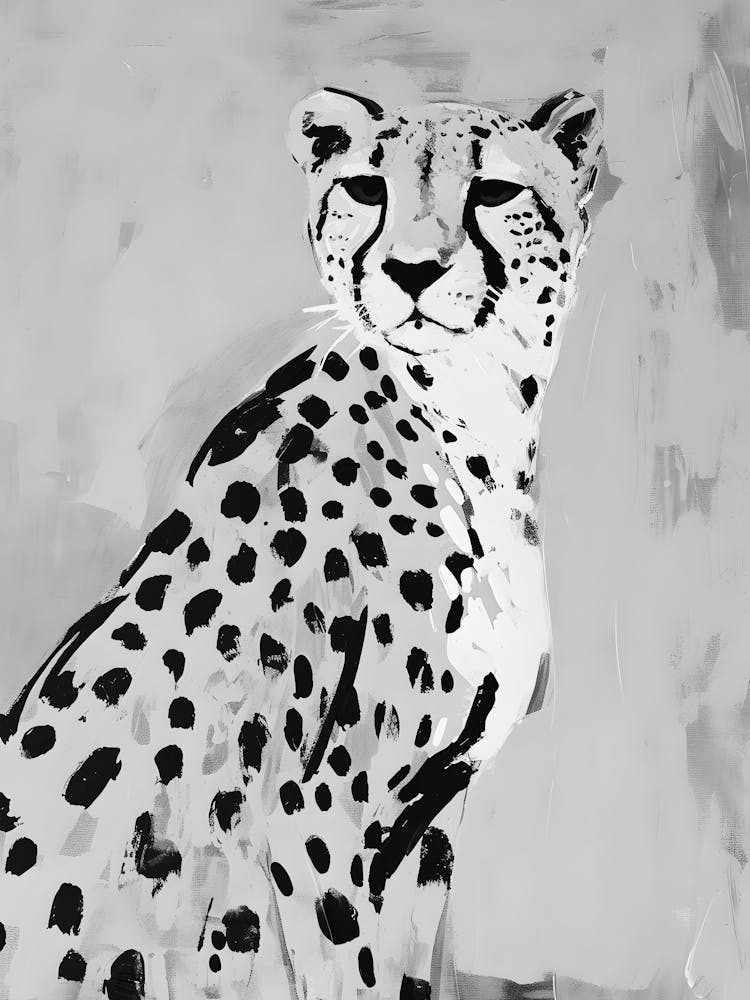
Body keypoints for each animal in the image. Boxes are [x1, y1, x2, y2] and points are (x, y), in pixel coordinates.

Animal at [0, 85, 602, 1000]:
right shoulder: (319, 808)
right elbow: (348, 964)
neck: (469, 420)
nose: (413, 271)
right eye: (366, 188)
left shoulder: (430, 817)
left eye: (495, 192)